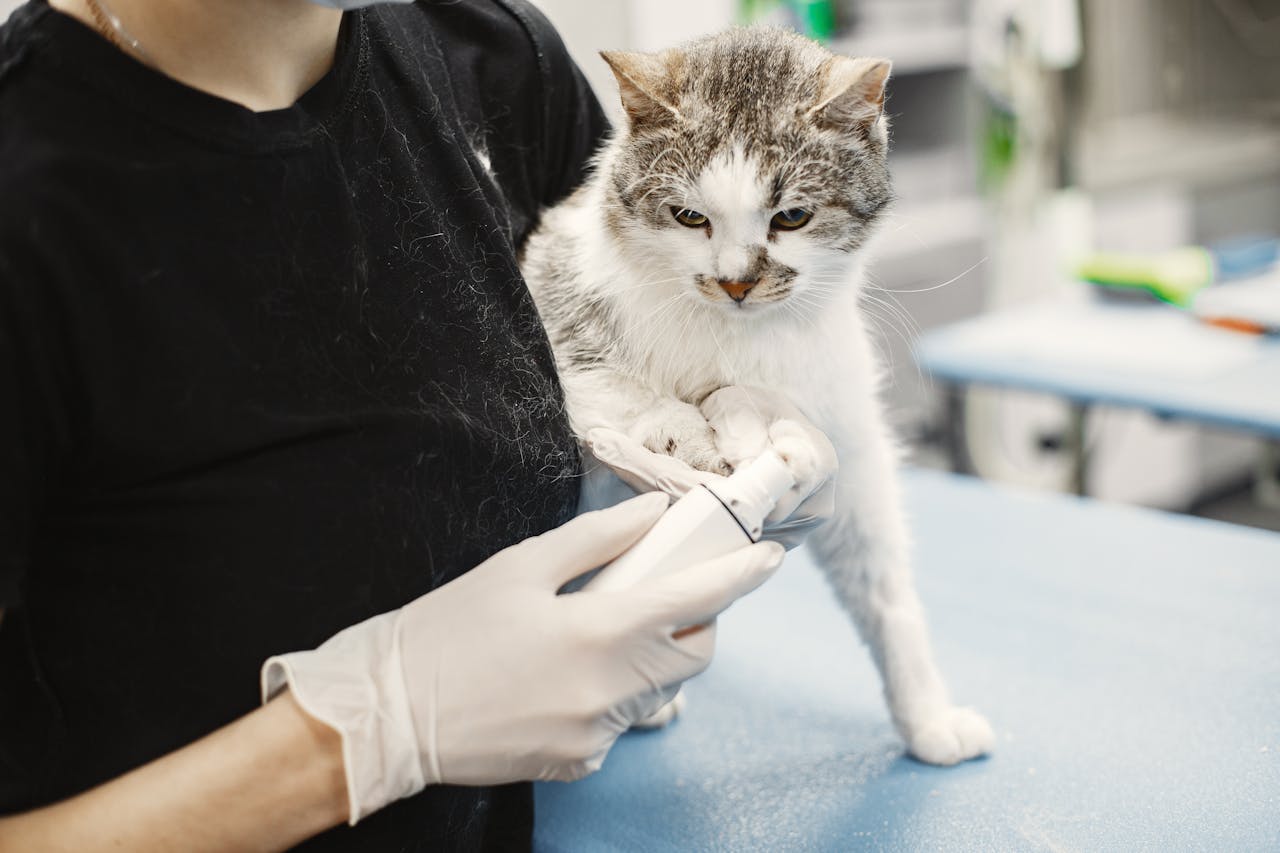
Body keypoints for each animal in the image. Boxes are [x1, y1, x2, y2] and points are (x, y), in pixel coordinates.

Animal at [517, 24, 988, 763]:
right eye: (689, 217)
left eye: (791, 216)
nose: (735, 281)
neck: (738, 337)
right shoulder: (557, 302)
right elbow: (617, 386)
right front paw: (690, 434)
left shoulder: (848, 435)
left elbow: (884, 582)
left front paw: (927, 714)